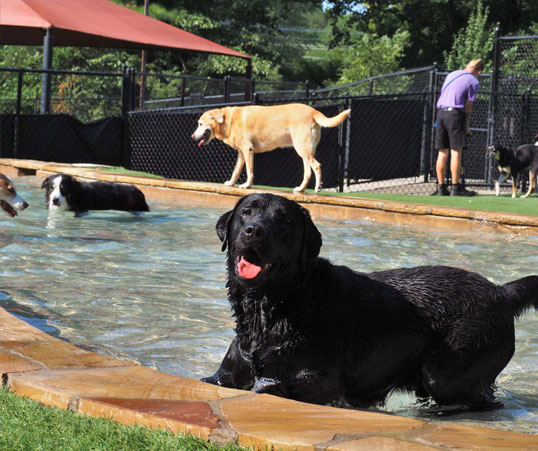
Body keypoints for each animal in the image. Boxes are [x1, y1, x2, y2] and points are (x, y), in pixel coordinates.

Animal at [200, 192, 536, 412]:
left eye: (283, 220)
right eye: (246, 212)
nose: (254, 231)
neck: (274, 305)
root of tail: (501, 292)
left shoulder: (322, 382)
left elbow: (278, 385)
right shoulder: (224, 376)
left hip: (445, 370)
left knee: (482, 402)